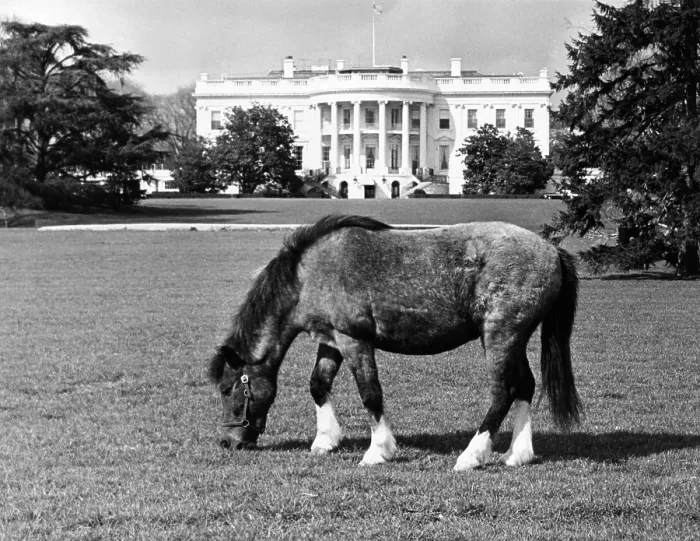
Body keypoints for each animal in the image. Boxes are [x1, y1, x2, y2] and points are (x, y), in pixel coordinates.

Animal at [209, 214, 582, 470]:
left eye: (228, 390)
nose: (227, 442)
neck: (309, 274)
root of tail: (551, 250)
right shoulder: (331, 341)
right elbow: (318, 385)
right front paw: (325, 441)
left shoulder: (355, 341)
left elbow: (371, 394)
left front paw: (378, 451)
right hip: (515, 338)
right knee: (525, 386)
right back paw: (517, 454)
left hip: (500, 336)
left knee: (503, 392)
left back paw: (471, 456)